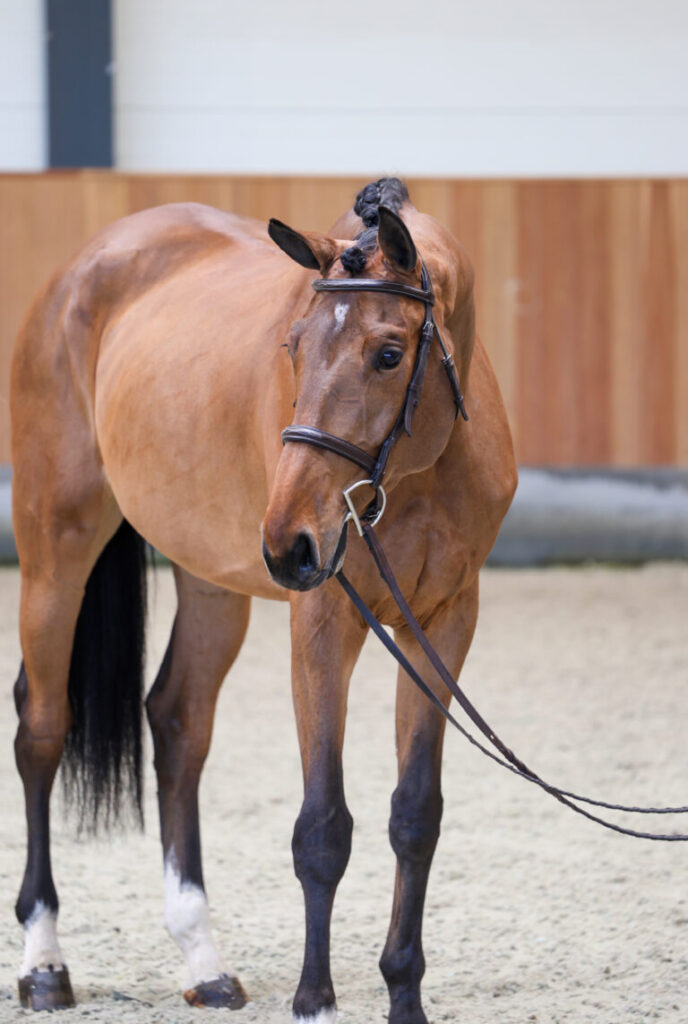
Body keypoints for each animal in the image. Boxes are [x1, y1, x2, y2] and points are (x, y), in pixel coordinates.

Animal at [10, 177, 517, 1022]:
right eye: (294, 346)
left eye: (388, 354)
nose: (287, 545)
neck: (419, 472)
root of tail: (80, 269)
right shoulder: (324, 619)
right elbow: (323, 826)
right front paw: (315, 999)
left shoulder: (445, 624)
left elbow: (416, 814)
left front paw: (403, 995)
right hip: (55, 551)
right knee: (42, 729)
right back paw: (44, 962)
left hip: (212, 580)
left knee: (178, 722)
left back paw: (203, 960)